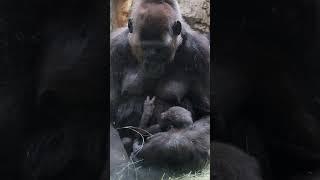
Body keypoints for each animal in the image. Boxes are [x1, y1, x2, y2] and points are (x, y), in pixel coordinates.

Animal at [110, 0, 210, 173]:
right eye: (145, 47)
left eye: (160, 48)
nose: (152, 63)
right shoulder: (114, 48)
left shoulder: (202, 53)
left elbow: (206, 114)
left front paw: (160, 147)